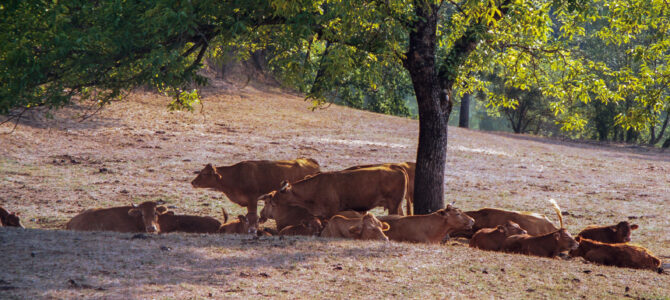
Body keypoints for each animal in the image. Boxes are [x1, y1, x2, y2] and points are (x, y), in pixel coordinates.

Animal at [260, 165, 410, 219]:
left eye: (270, 201)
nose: (261, 214)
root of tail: (397, 168)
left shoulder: (332, 211)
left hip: (394, 205)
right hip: (397, 205)